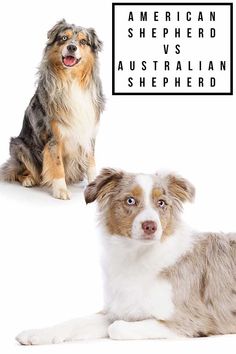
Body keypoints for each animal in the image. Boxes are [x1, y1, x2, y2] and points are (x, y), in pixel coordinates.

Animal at [0, 20, 104, 199]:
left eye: (83, 41)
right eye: (64, 38)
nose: (71, 47)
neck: (71, 80)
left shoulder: (88, 131)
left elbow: (91, 162)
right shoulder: (53, 136)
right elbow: (57, 164)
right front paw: (61, 190)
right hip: (19, 145)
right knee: (16, 171)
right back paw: (28, 179)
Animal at [15, 169, 235, 342]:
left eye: (161, 203)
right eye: (130, 200)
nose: (150, 226)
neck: (137, 255)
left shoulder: (189, 321)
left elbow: (116, 328)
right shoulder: (117, 308)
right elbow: (76, 321)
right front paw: (38, 333)